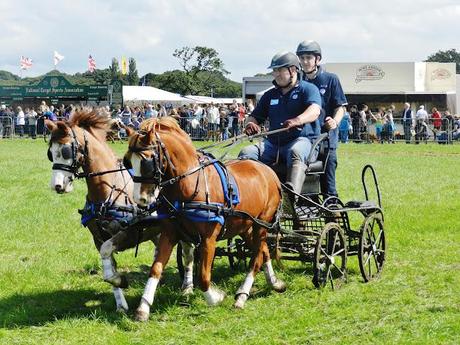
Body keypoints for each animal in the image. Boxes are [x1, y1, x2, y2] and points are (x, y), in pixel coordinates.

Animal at [47, 109, 196, 314]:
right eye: (50, 152)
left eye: (66, 150)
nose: (57, 186)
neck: (109, 190)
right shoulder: (98, 239)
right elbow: (108, 268)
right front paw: (120, 302)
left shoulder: (130, 233)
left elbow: (109, 259)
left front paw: (122, 282)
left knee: (188, 253)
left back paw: (187, 287)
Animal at [124, 117, 286, 322]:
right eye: (128, 162)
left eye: (147, 162)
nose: (141, 199)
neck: (189, 184)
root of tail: (269, 171)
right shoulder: (170, 234)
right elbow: (156, 269)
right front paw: (143, 308)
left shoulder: (209, 239)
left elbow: (203, 276)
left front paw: (216, 298)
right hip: (247, 226)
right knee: (264, 251)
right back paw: (274, 283)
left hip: (261, 225)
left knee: (256, 257)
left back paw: (242, 296)